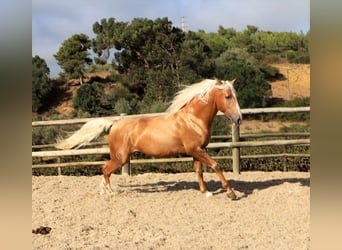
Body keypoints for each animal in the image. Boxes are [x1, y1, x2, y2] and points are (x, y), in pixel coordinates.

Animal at [56, 79, 242, 200]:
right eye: (227, 96)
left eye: (235, 95)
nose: (239, 118)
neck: (193, 119)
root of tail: (114, 123)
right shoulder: (196, 150)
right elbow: (216, 166)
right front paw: (231, 193)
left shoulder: (197, 151)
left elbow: (199, 172)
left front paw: (206, 193)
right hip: (121, 158)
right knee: (105, 169)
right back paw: (110, 192)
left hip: (120, 158)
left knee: (105, 170)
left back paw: (104, 191)